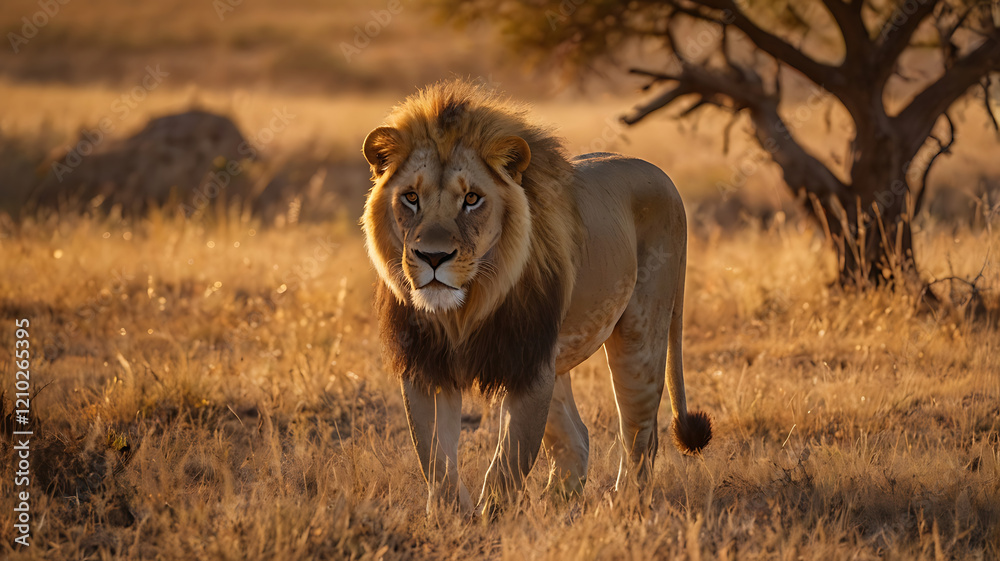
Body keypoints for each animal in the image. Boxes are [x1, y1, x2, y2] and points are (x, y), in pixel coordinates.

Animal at [361, 80, 712, 515]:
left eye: (472, 199)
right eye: (411, 197)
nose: (434, 257)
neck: (465, 309)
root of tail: (662, 175)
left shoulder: (528, 367)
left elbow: (509, 460)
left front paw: (491, 521)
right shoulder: (425, 369)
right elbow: (435, 459)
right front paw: (448, 519)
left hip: (638, 338)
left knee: (640, 433)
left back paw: (625, 506)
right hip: (558, 357)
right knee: (577, 438)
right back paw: (561, 506)